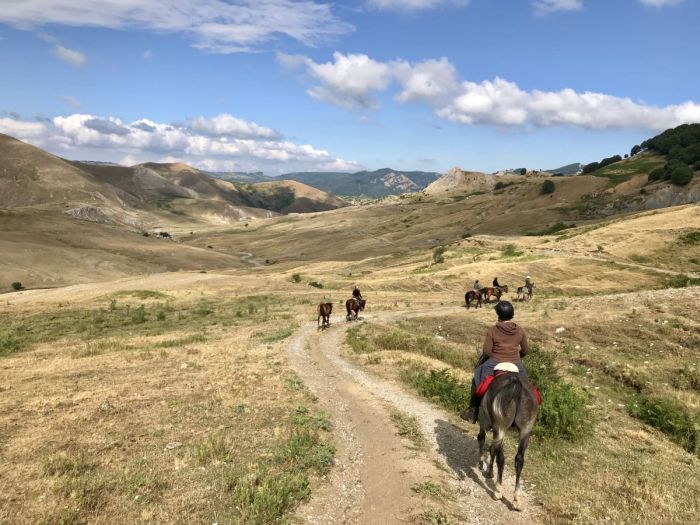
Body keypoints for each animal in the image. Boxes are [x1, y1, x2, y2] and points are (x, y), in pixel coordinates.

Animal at [478, 366, 540, 510]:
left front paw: (484, 467)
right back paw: (516, 499)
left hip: (500, 426)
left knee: (499, 455)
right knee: (519, 459)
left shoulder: (484, 422)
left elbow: (483, 441)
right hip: (525, 429)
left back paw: (498, 490)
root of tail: (516, 385)